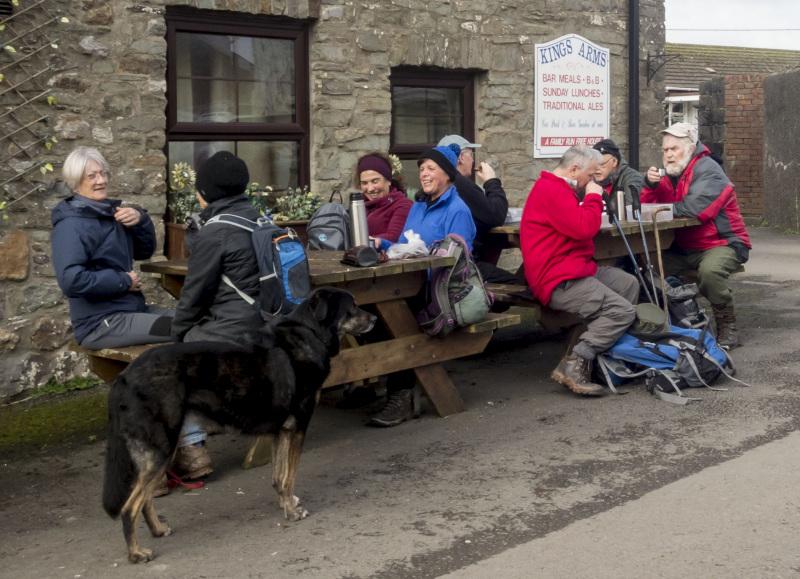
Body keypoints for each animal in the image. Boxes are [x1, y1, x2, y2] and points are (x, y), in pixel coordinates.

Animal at [102, 288, 376, 564]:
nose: (374, 318)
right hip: (162, 449)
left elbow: (279, 477)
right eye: (353, 306)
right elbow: (289, 476)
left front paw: (284, 504)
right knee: (129, 507)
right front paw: (291, 512)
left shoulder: (280, 431)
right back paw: (136, 553)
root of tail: (123, 376)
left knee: (144, 499)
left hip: (161, 451)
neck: (309, 332)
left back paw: (157, 530)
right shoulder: (298, 427)